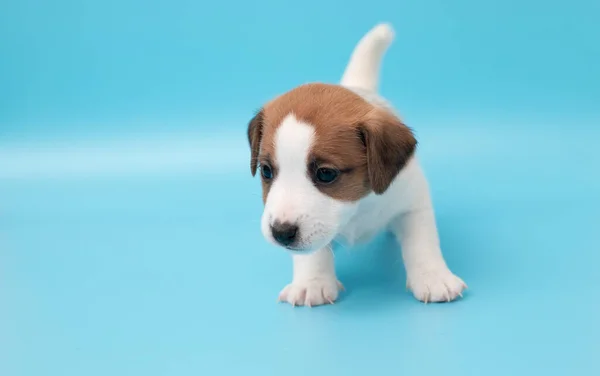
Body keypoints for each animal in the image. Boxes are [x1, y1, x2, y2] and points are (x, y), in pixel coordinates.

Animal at [246, 22, 466, 306]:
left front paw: (433, 276)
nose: (281, 233)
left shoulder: (413, 205)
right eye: (266, 171)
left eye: (326, 174)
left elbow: (423, 242)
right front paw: (312, 283)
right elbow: (312, 252)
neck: (358, 207)